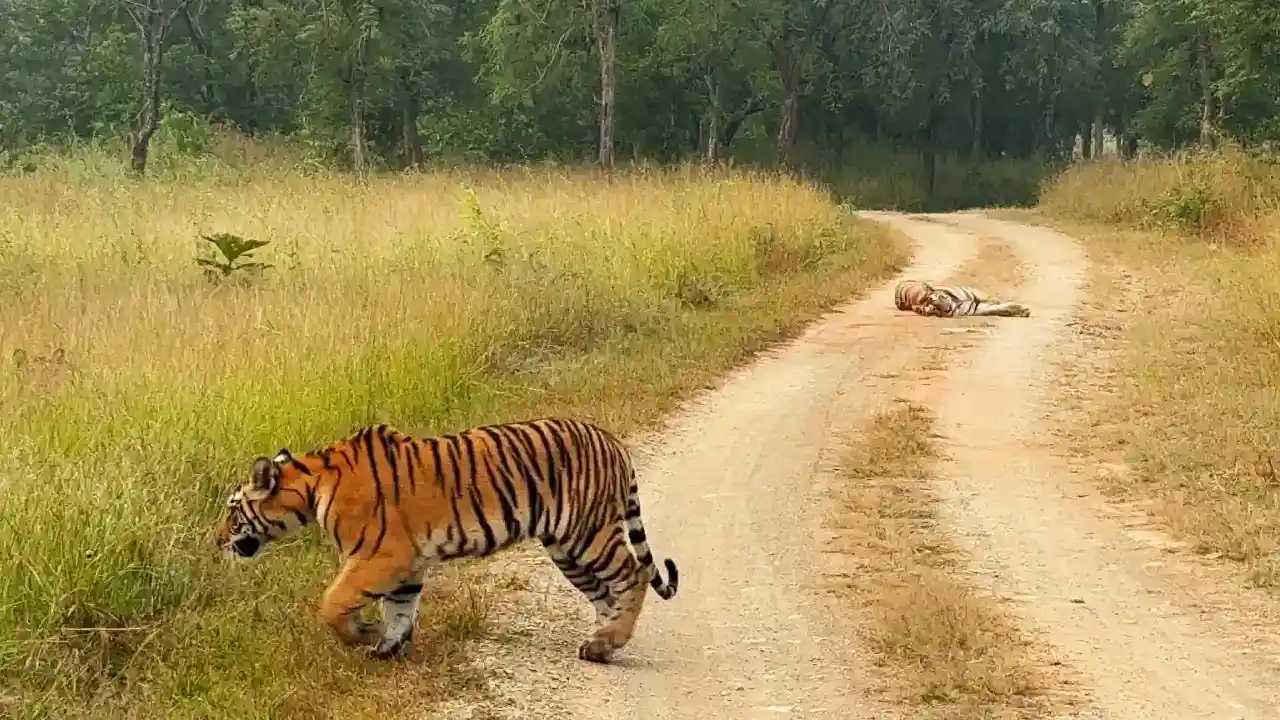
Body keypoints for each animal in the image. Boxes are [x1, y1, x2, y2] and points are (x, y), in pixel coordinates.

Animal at [212, 418, 679, 664]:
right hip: (565, 547)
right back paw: (600, 642)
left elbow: (332, 602)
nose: (214, 541)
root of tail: (611, 439)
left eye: (232, 513)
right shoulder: (407, 562)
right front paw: (388, 646)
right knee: (605, 593)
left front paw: (361, 634)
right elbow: (401, 608)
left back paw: (608, 642)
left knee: (633, 576)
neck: (311, 485)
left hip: (588, 533)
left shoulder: (380, 555)